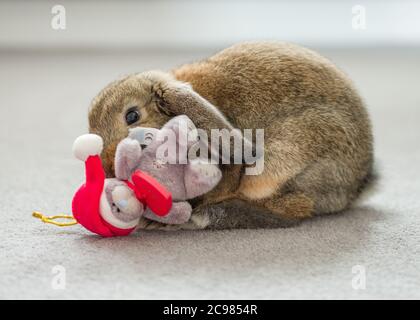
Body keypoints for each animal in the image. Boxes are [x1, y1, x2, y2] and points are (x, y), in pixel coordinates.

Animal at [88, 41, 374, 230]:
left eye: (132, 115)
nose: (107, 166)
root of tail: (357, 184)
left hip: (276, 166)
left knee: (293, 211)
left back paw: (202, 216)